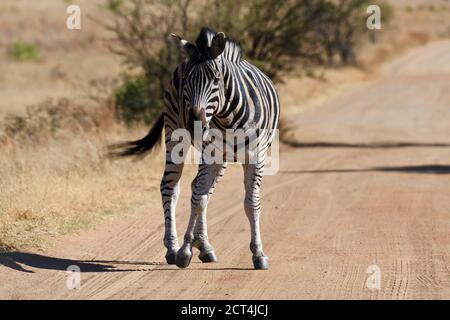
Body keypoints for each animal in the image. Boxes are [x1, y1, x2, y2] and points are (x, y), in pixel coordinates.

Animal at [110, 26, 278, 270]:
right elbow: (198, 200)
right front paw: (184, 250)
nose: (194, 124)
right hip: (175, 134)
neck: (230, 117)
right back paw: (173, 247)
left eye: (216, 79)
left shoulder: (257, 156)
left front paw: (258, 253)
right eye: (187, 80)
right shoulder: (209, 152)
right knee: (172, 187)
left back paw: (204, 246)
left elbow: (250, 202)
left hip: (221, 158)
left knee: (200, 189)